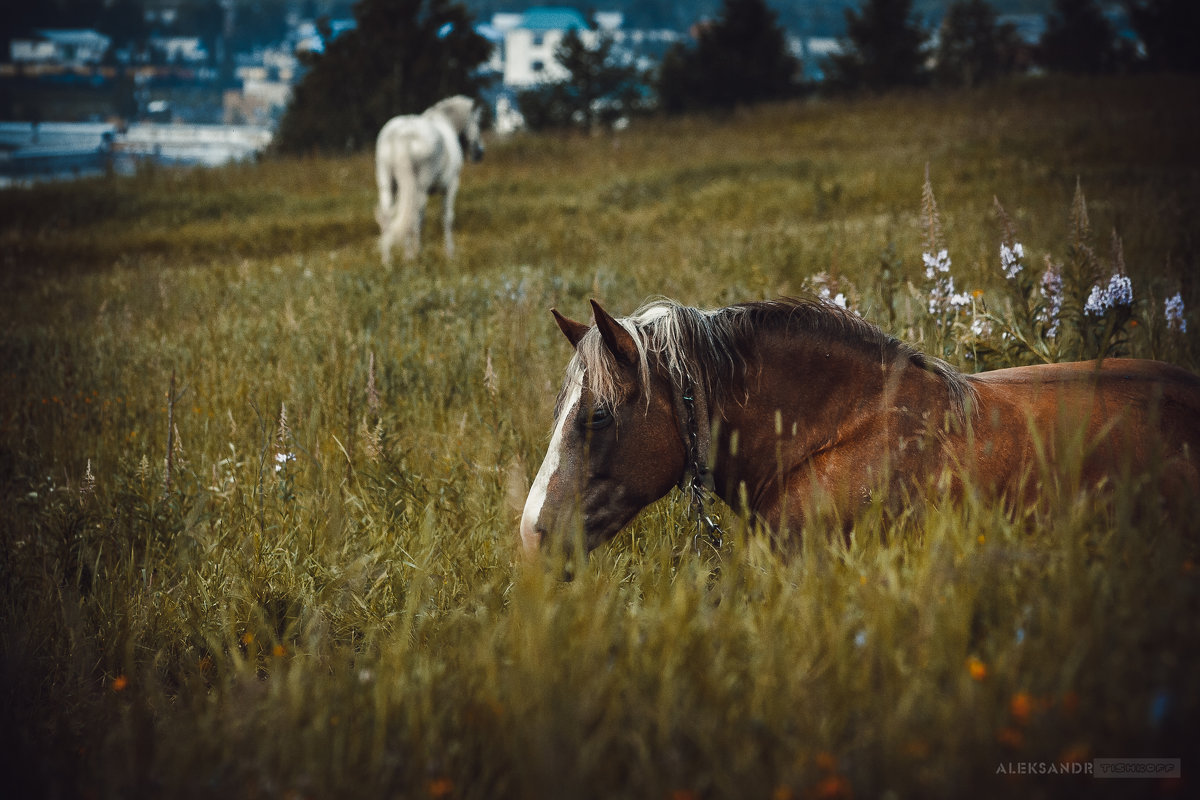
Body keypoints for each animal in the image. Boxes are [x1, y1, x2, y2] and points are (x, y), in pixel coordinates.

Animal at [376, 95, 484, 266]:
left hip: (387, 184)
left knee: (388, 215)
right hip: (420, 187)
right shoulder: (450, 186)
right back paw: (414, 256)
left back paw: (388, 261)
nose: (479, 153)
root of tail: (401, 135)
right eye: (479, 122)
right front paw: (450, 254)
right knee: (414, 216)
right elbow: (447, 217)